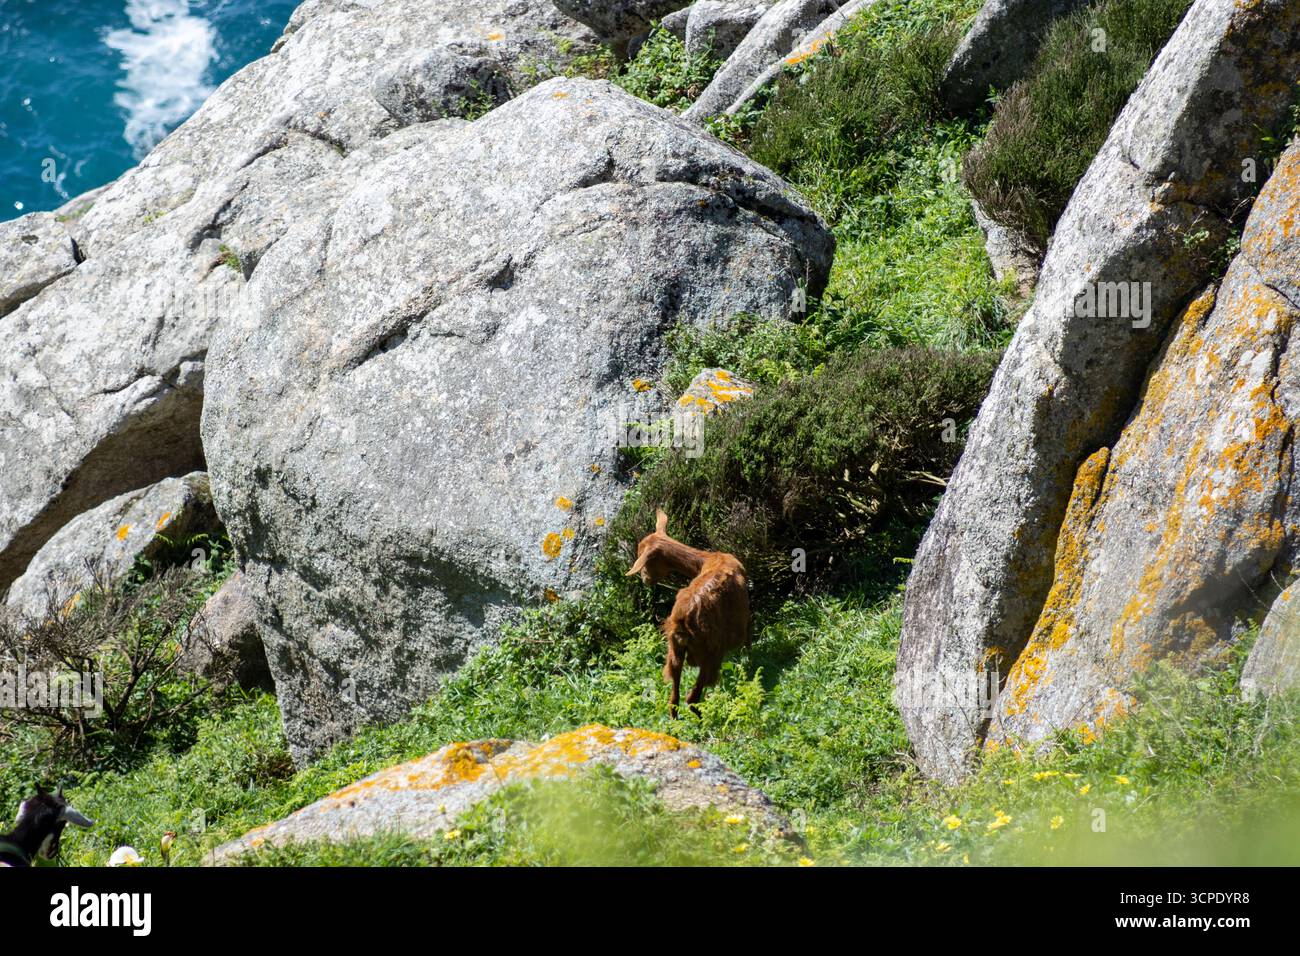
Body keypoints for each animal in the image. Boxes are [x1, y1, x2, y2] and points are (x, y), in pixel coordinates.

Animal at [626, 509, 750, 718]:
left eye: (644, 561)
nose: (644, 579)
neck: (708, 560)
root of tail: (681, 621)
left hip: (674, 651)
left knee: (673, 697)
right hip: (710, 651)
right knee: (692, 696)